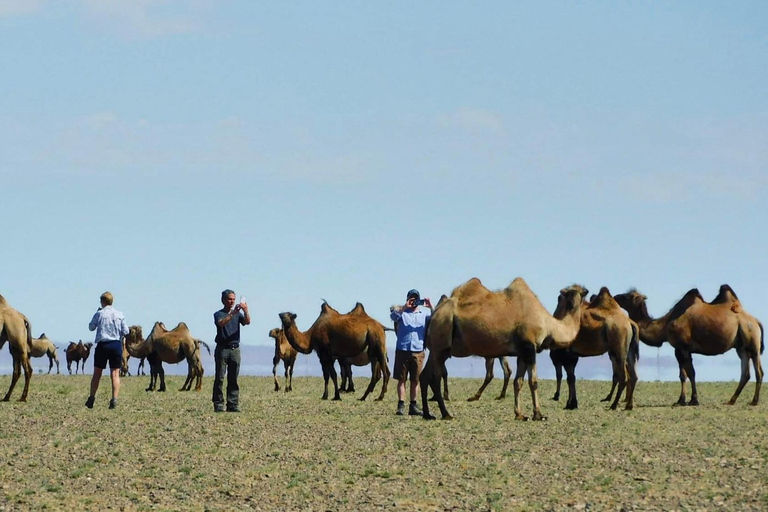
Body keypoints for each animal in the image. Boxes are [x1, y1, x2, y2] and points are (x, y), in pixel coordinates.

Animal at [416, 278, 584, 422]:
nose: (585, 291)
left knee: (425, 376)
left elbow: (518, 381)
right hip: (441, 339)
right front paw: (538, 414)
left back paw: (427, 414)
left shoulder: (522, 353)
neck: (548, 324)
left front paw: (520, 414)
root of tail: (434, 314)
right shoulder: (530, 348)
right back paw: (446, 414)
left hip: (438, 349)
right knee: (435, 377)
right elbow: (533, 382)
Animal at [616, 284, 764, 408]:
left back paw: (754, 401)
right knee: (745, 373)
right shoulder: (679, 349)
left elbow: (691, 373)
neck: (664, 325)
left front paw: (693, 400)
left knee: (759, 371)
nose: (615, 297)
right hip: (741, 348)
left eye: (628, 296)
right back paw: (731, 400)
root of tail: (755, 321)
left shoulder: (683, 347)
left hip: (752, 340)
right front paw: (680, 400)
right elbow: (683, 375)